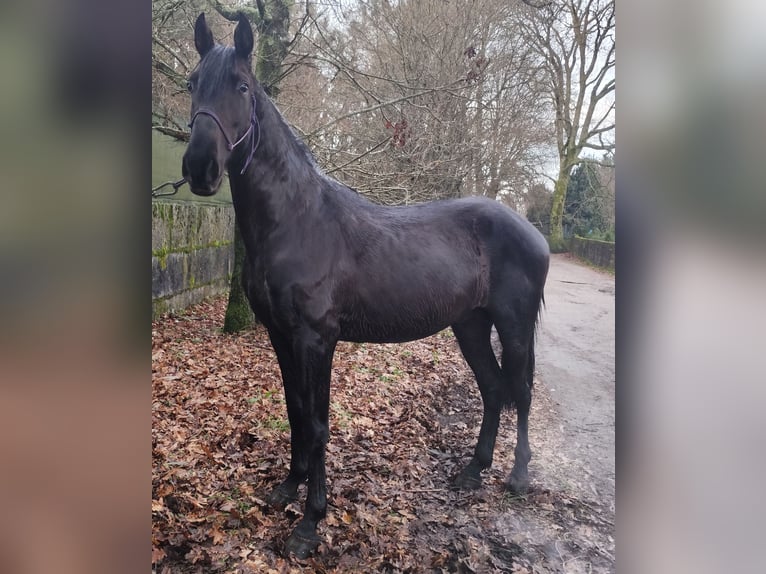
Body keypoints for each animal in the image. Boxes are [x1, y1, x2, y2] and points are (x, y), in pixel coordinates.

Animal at [182, 13, 550, 559]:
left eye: (242, 87)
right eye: (192, 84)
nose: (200, 168)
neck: (297, 221)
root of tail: (532, 231)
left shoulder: (317, 340)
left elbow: (317, 424)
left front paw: (309, 525)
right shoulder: (281, 335)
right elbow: (294, 411)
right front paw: (286, 489)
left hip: (515, 326)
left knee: (520, 392)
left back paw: (518, 477)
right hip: (470, 325)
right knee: (491, 387)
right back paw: (472, 472)